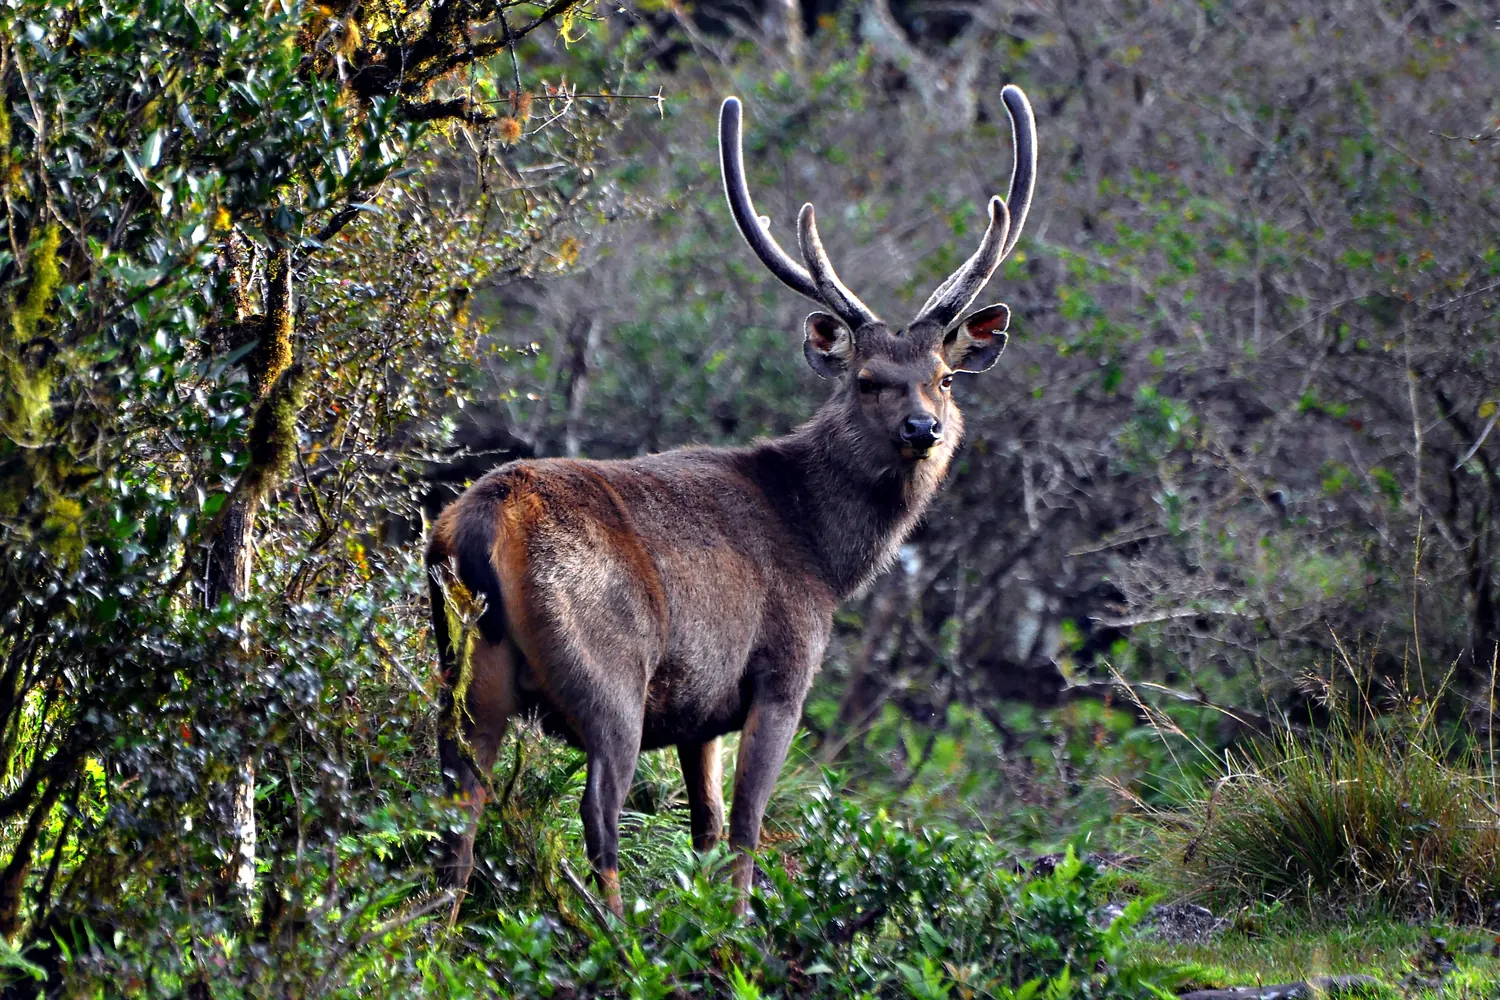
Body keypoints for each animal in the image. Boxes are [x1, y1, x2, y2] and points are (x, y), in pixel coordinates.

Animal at [427, 85, 1037, 917]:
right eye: (867, 379)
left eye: (943, 377)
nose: (924, 428)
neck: (824, 555)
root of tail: (480, 524)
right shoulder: (781, 671)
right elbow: (747, 825)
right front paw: (737, 926)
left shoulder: (699, 709)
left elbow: (707, 827)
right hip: (609, 669)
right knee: (599, 812)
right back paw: (613, 932)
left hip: (467, 669)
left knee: (457, 807)